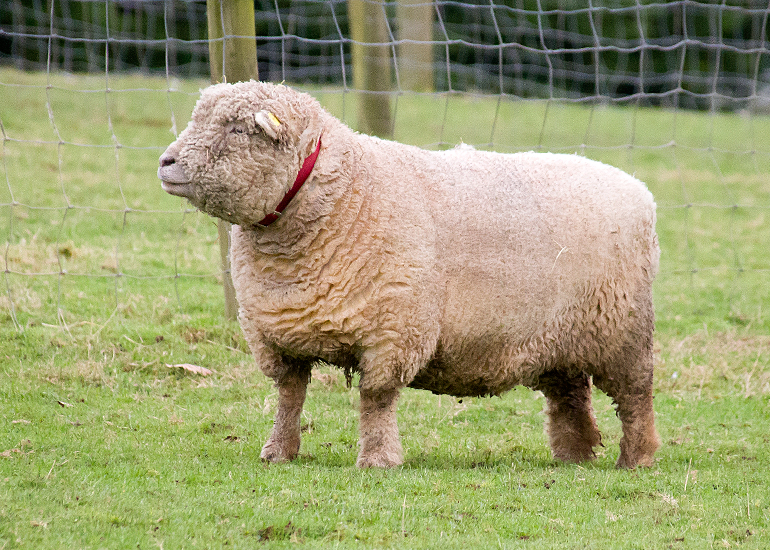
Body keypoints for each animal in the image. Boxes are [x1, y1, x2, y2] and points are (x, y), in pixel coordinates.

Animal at [158, 80, 661, 469]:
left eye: (239, 128)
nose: (166, 163)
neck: (346, 192)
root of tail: (639, 189)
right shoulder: (277, 335)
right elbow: (289, 397)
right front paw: (278, 452)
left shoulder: (393, 328)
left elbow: (376, 399)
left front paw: (378, 459)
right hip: (557, 338)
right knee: (569, 396)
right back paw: (573, 456)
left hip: (622, 330)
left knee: (636, 396)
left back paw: (636, 459)